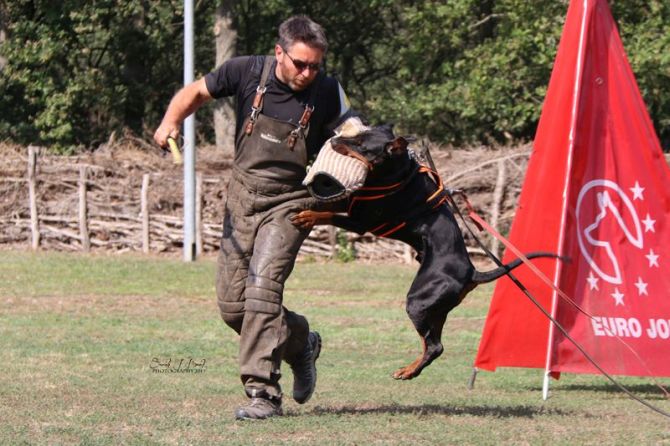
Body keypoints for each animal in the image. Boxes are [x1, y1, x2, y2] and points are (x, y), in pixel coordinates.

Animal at [291, 124, 558, 380]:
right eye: (360, 134)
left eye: (361, 145)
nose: (334, 139)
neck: (396, 176)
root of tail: (472, 272)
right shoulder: (353, 203)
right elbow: (327, 203)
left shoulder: (360, 222)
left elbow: (328, 214)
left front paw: (307, 217)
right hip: (436, 309)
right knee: (435, 345)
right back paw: (410, 369)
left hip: (418, 301)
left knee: (433, 345)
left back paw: (407, 372)